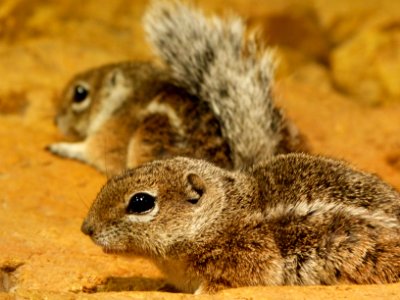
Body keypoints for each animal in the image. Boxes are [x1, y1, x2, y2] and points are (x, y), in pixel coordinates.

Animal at [46, 0, 306, 173]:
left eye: (80, 93)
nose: (56, 121)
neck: (123, 97)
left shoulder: (111, 136)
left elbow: (90, 151)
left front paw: (61, 147)